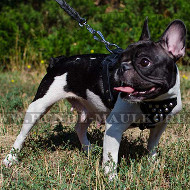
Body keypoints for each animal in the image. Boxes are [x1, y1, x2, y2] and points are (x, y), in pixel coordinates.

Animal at [3, 18, 186, 177]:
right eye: (121, 58)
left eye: (144, 62)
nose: (122, 67)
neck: (153, 103)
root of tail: (59, 61)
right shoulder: (114, 127)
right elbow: (111, 158)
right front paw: (112, 179)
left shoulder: (160, 124)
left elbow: (152, 144)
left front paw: (153, 162)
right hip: (39, 105)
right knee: (22, 134)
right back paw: (11, 158)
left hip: (89, 108)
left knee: (79, 128)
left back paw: (88, 149)